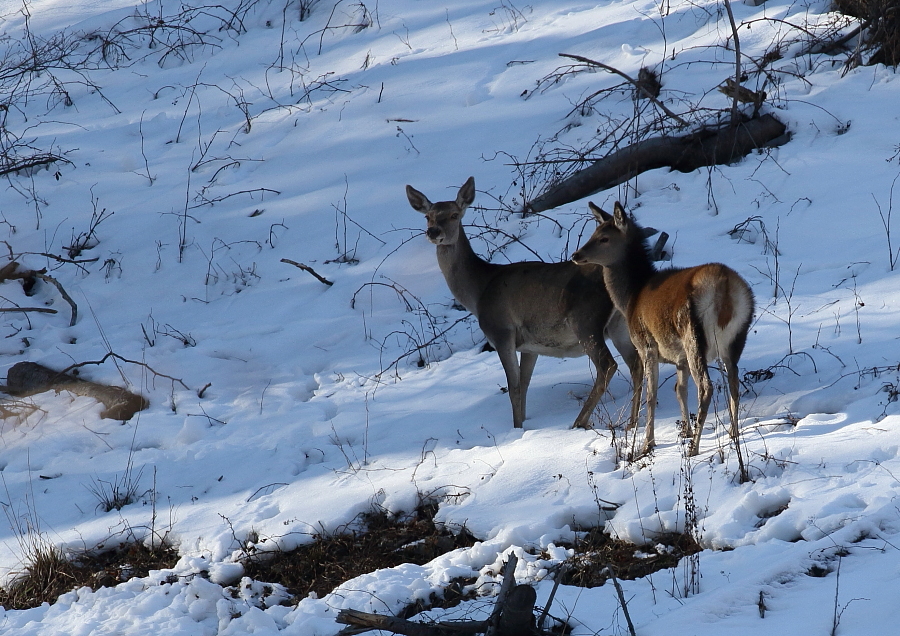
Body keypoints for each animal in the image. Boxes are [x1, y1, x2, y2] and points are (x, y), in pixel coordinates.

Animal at [408, 176, 640, 430]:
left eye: (454, 214)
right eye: (427, 216)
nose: (433, 231)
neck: (478, 292)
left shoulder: (501, 331)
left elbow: (514, 388)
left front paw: (516, 428)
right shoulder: (530, 346)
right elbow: (525, 385)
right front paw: (525, 424)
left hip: (586, 320)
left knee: (608, 365)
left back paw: (579, 422)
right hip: (618, 325)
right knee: (636, 362)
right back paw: (632, 422)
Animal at [576, 201, 752, 474]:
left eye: (604, 238)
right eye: (592, 233)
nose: (576, 255)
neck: (631, 298)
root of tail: (724, 288)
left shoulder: (647, 344)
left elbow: (651, 395)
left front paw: (646, 444)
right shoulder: (678, 357)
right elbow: (680, 389)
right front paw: (685, 431)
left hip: (692, 335)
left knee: (707, 387)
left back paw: (695, 449)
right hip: (735, 340)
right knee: (733, 383)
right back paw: (733, 434)